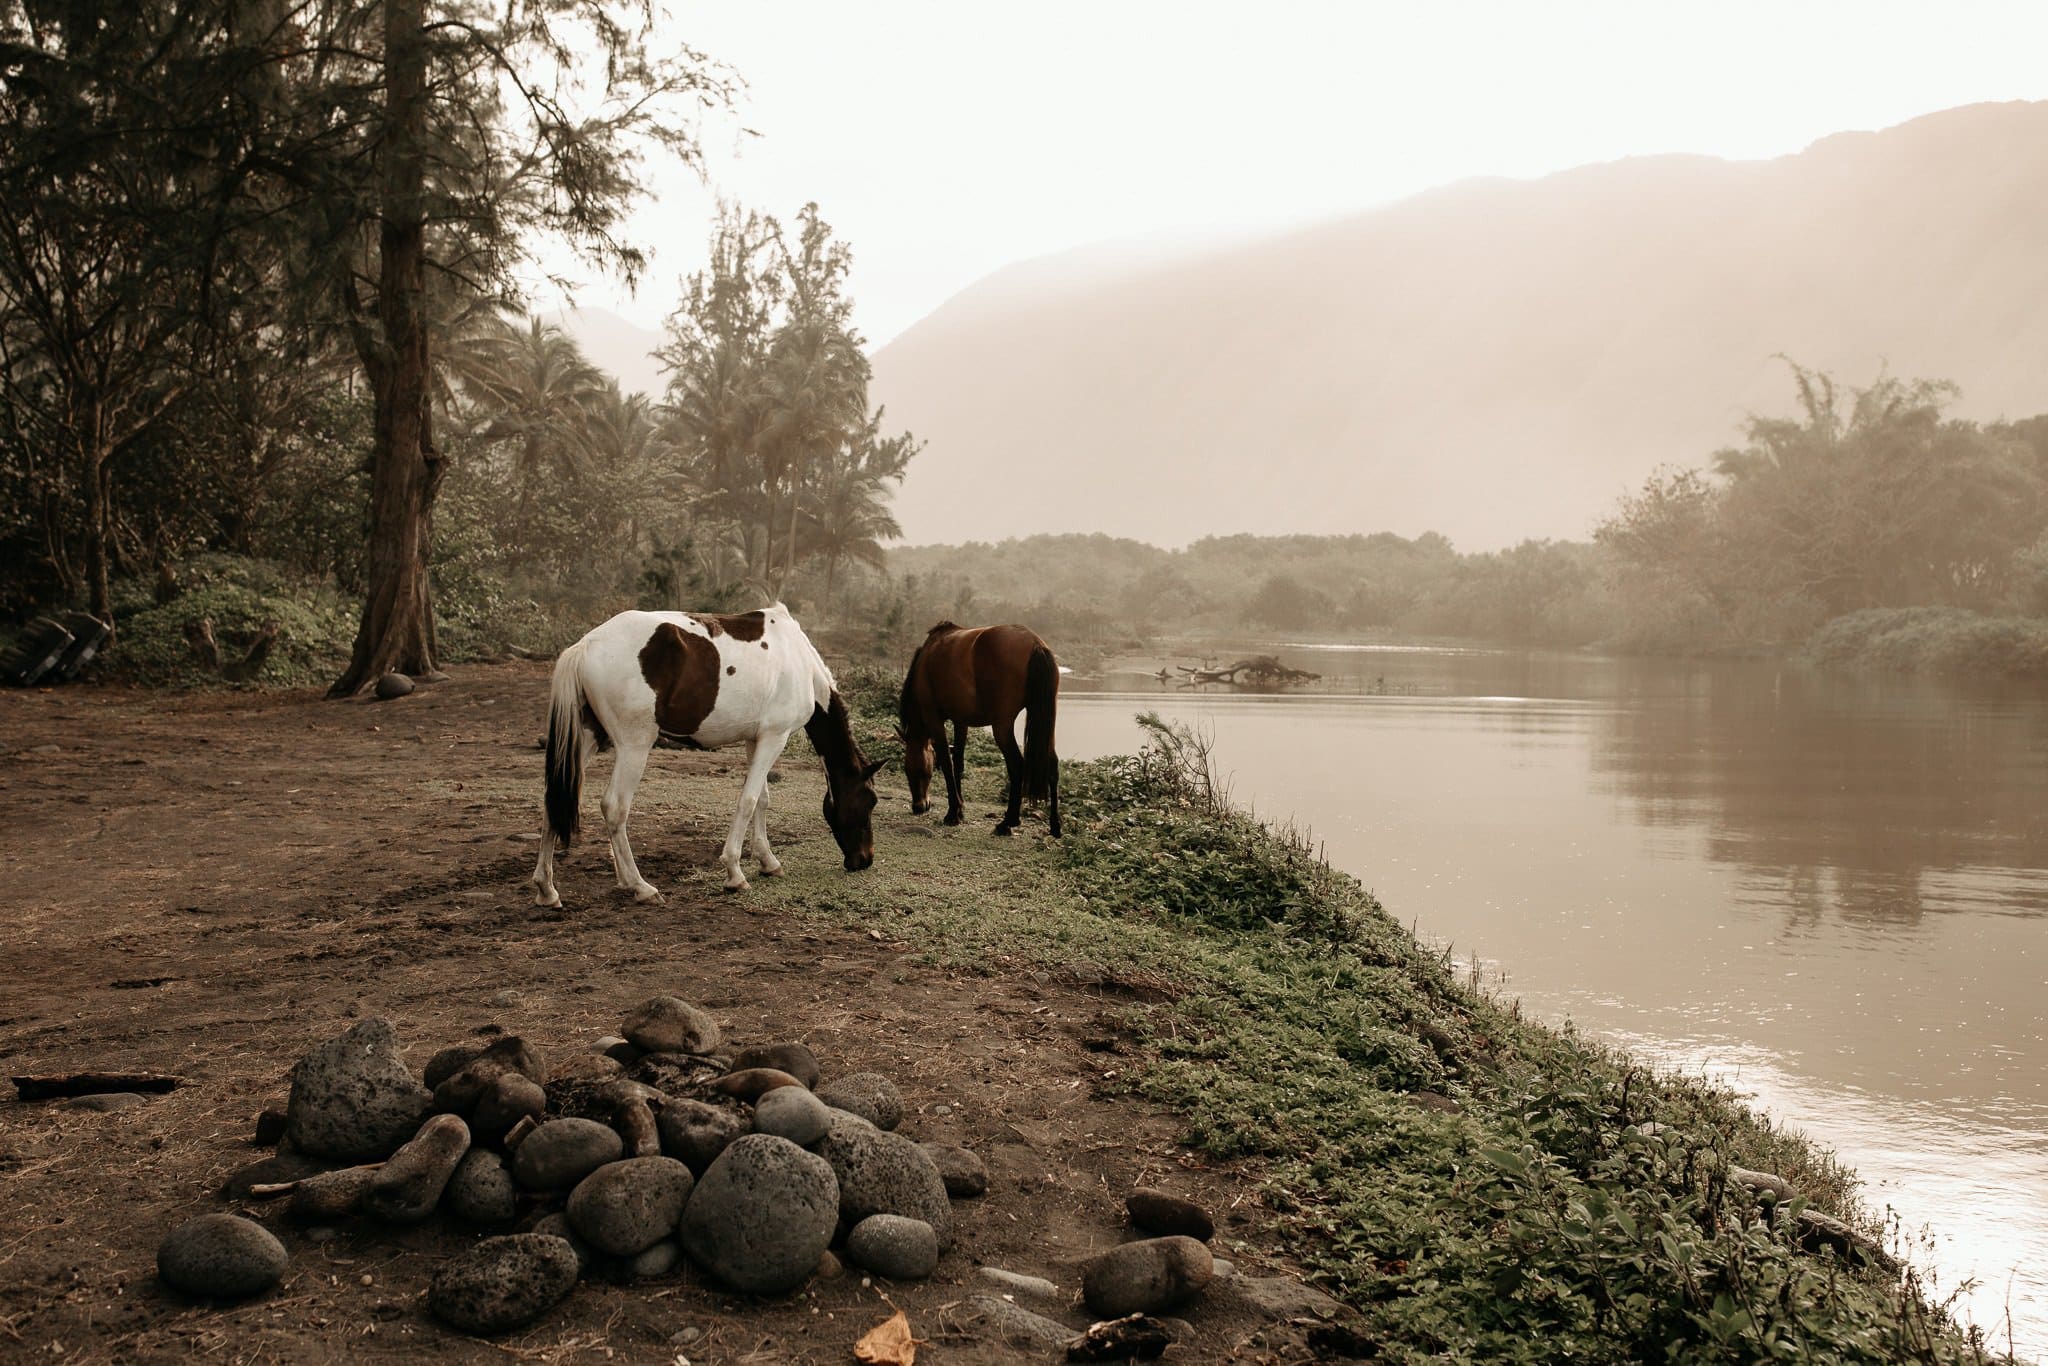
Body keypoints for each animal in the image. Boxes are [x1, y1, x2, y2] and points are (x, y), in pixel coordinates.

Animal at [531, 605, 883, 906]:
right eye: (869, 801)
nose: (864, 860)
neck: (799, 661)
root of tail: (585, 646)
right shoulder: (775, 737)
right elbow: (748, 801)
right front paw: (734, 873)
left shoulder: (756, 740)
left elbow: (762, 799)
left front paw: (767, 862)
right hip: (634, 746)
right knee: (615, 808)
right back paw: (640, 886)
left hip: (588, 740)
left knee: (554, 800)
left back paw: (547, 889)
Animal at [897, 622, 1061, 838]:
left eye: (910, 770)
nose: (918, 807)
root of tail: (1035, 643)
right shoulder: (961, 721)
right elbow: (958, 763)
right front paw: (959, 811)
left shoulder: (934, 719)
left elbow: (946, 763)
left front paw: (952, 813)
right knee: (1053, 764)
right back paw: (1055, 826)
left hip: (1002, 726)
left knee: (1016, 765)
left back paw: (1008, 822)